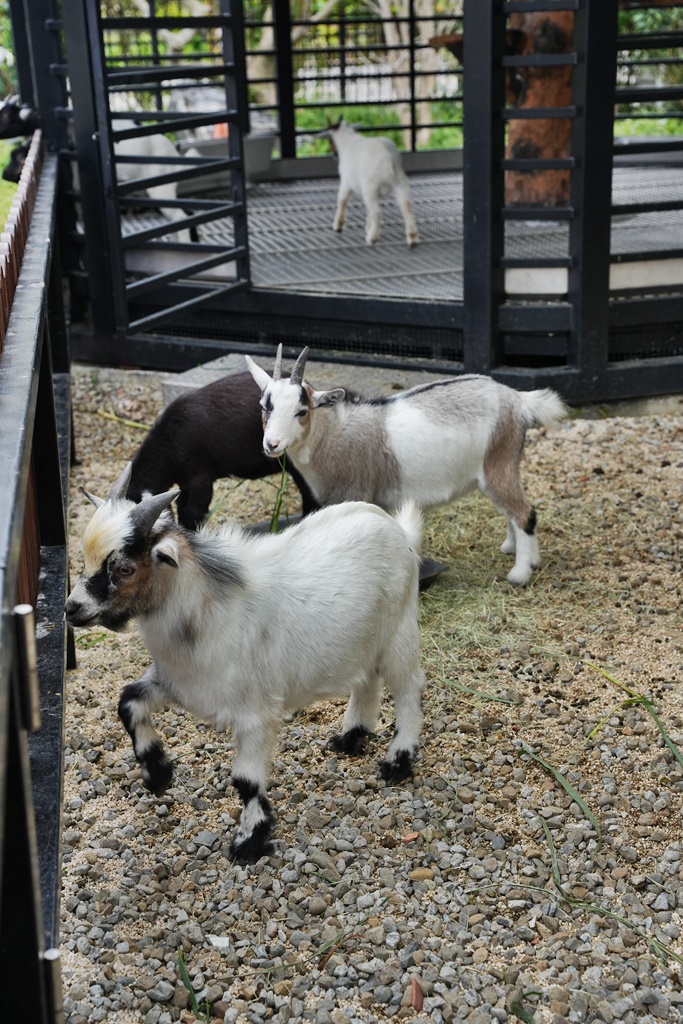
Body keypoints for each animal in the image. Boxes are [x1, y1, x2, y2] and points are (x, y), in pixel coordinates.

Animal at [65, 468, 428, 868]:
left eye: (125, 568)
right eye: (85, 560)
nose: (72, 608)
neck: (208, 613)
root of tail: (395, 527)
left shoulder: (256, 716)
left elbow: (246, 780)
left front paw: (249, 842)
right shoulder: (178, 685)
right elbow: (128, 701)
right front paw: (157, 773)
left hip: (399, 633)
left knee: (409, 689)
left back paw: (398, 762)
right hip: (363, 641)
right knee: (366, 680)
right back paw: (350, 738)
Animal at [248, 346, 569, 585]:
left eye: (302, 411)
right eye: (265, 406)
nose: (272, 444)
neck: (334, 433)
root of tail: (518, 400)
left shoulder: (355, 493)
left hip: (497, 461)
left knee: (524, 512)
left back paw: (520, 573)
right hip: (500, 467)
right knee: (511, 511)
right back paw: (515, 550)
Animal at [325, 118, 417, 246]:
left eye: (330, 139)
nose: (334, 154)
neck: (347, 139)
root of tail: (387, 158)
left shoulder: (346, 182)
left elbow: (342, 201)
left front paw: (338, 225)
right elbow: (368, 210)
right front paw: (367, 227)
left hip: (370, 185)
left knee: (377, 212)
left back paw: (372, 238)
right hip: (400, 183)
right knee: (407, 208)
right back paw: (412, 237)